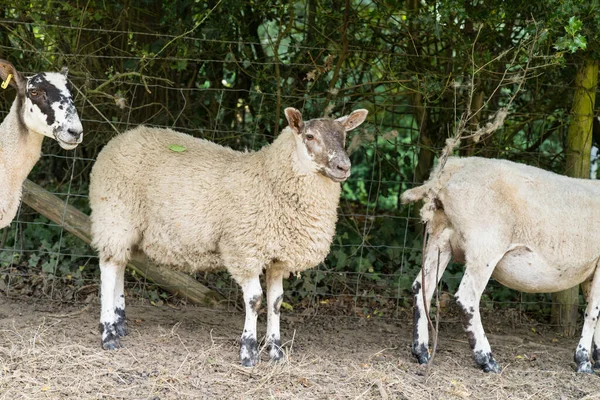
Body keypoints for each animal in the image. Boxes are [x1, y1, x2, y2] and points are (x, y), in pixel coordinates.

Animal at [88, 105, 368, 366]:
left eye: (344, 136)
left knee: (120, 265)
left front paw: (276, 351)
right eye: (309, 136)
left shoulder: (278, 258)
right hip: (115, 216)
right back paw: (108, 333)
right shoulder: (244, 250)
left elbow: (276, 302)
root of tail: (120, 138)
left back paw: (120, 323)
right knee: (108, 269)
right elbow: (255, 300)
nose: (344, 167)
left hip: (130, 228)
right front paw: (249, 351)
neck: (269, 179)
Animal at [400, 155, 600, 372]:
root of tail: (451, 169)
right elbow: (593, 312)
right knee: (466, 297)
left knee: (422, 288)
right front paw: (583, 361)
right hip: (485, 244)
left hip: (441, 237)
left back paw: (421, 352)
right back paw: (486, 359)